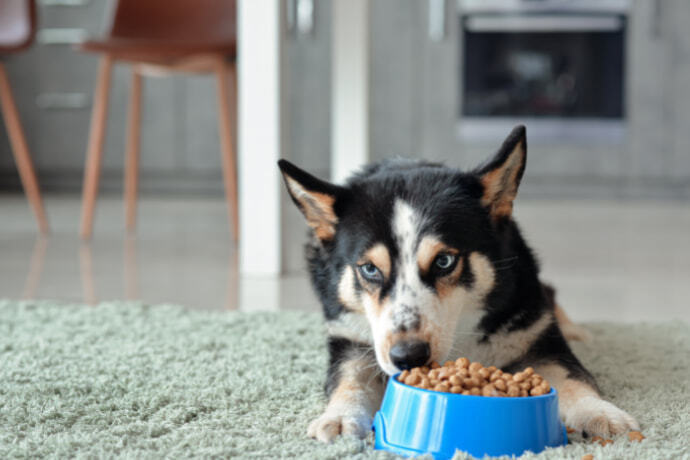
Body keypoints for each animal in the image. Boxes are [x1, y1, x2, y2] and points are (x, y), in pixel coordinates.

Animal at [276, 126, 636, 442]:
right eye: (369, 269)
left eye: (444, 261)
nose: (408, 355)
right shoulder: (351, 338)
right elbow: (349, 380)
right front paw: (339, 418)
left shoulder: (537, 337)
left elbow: (573, 379)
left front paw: (599, 413)